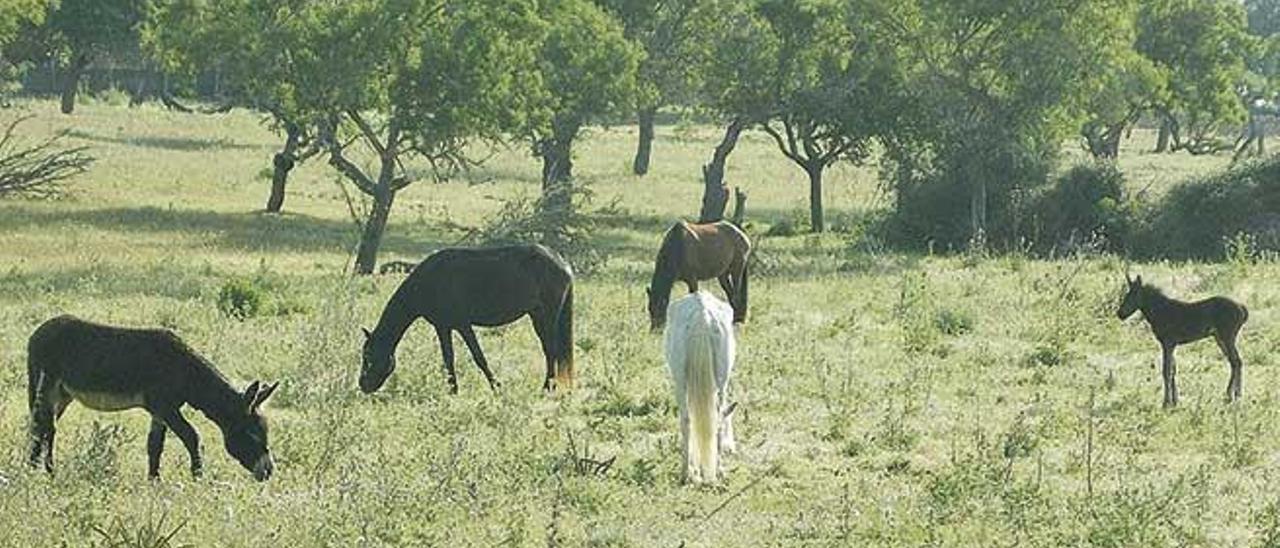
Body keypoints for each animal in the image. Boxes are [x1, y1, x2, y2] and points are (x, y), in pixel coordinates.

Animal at [28, 316, 279, 478]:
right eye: (252, 434)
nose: (268, 472)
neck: (185, 371)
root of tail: (39, 330)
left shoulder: (160, 412)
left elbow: (155, 445)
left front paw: (154, 481)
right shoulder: (165, 407)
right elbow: (193, 437)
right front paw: (198, 478)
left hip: (63, 395)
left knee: (41, 427)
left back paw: (35, 469)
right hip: (45, 385)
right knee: (45, 427)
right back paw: (45, 472)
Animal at [363, 244, 578, 394]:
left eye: (368, 357)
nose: (363, 385)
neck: (428, 282)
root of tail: (562, 262)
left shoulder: (463, 325)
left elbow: (479, 358)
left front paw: (496, 387)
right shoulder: (443, 327)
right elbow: (448, 358)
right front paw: (453, 390)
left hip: (547, 316)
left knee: (551, 351)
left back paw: (547, 388)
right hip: (538, 316)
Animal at [665, 289, 737, 481]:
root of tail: (702, 316)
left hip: (679, 380)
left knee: (686, 419)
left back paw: (685, 472)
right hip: (721, 376)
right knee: (717, 417)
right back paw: (718, 471)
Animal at [1121, 274, 1249, 407]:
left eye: (1134, 295)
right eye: (1127, 295)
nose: (1120, 314)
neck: (1158, 312)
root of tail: (1243, 310)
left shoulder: (1167, 342)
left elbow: (1166, 371)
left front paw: (1166, 402)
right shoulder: (1171, 344)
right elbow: (1173, 370)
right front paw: (1175, 401)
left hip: (1227, 336)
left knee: (1236, 361)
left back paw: (1234, 395)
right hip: (1220, 337)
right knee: (1234, 362)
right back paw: (1232, 395)